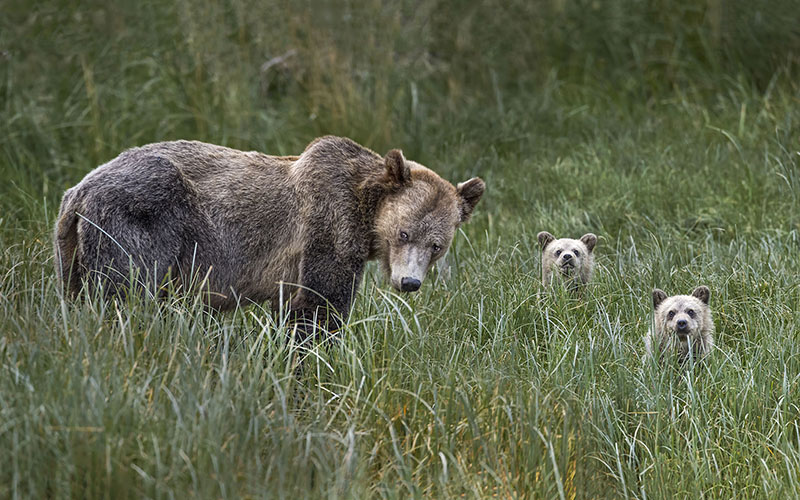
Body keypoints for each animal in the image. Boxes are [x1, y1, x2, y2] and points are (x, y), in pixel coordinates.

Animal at [54, 136, 485, 338]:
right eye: (403, 231)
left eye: (437, 245)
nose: (409, 282)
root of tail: (79, 189)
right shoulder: (328, 227)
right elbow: (319, 308)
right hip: (139, 217)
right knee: (121, 291)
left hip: (72, 247)